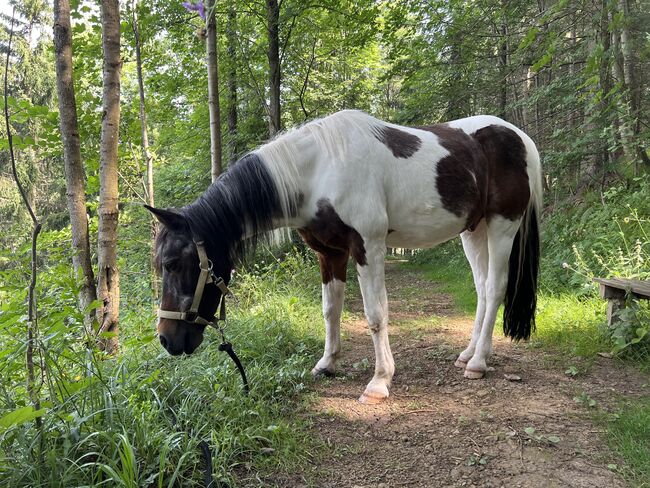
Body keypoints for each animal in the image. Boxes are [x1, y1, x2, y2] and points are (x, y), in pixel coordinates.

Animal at [148, 109, 540, 404]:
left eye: (171, 264)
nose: (166, 340)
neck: (319, 170)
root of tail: (522, 139)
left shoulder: (368, 246)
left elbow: (376, 314)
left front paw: (380, 381)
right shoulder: (330, 254)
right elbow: (330, 309)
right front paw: (327, 363)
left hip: (502, 226)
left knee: (496, 288)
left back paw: (479, 362)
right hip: (473, 231)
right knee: (481, 288)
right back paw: (467, 354)